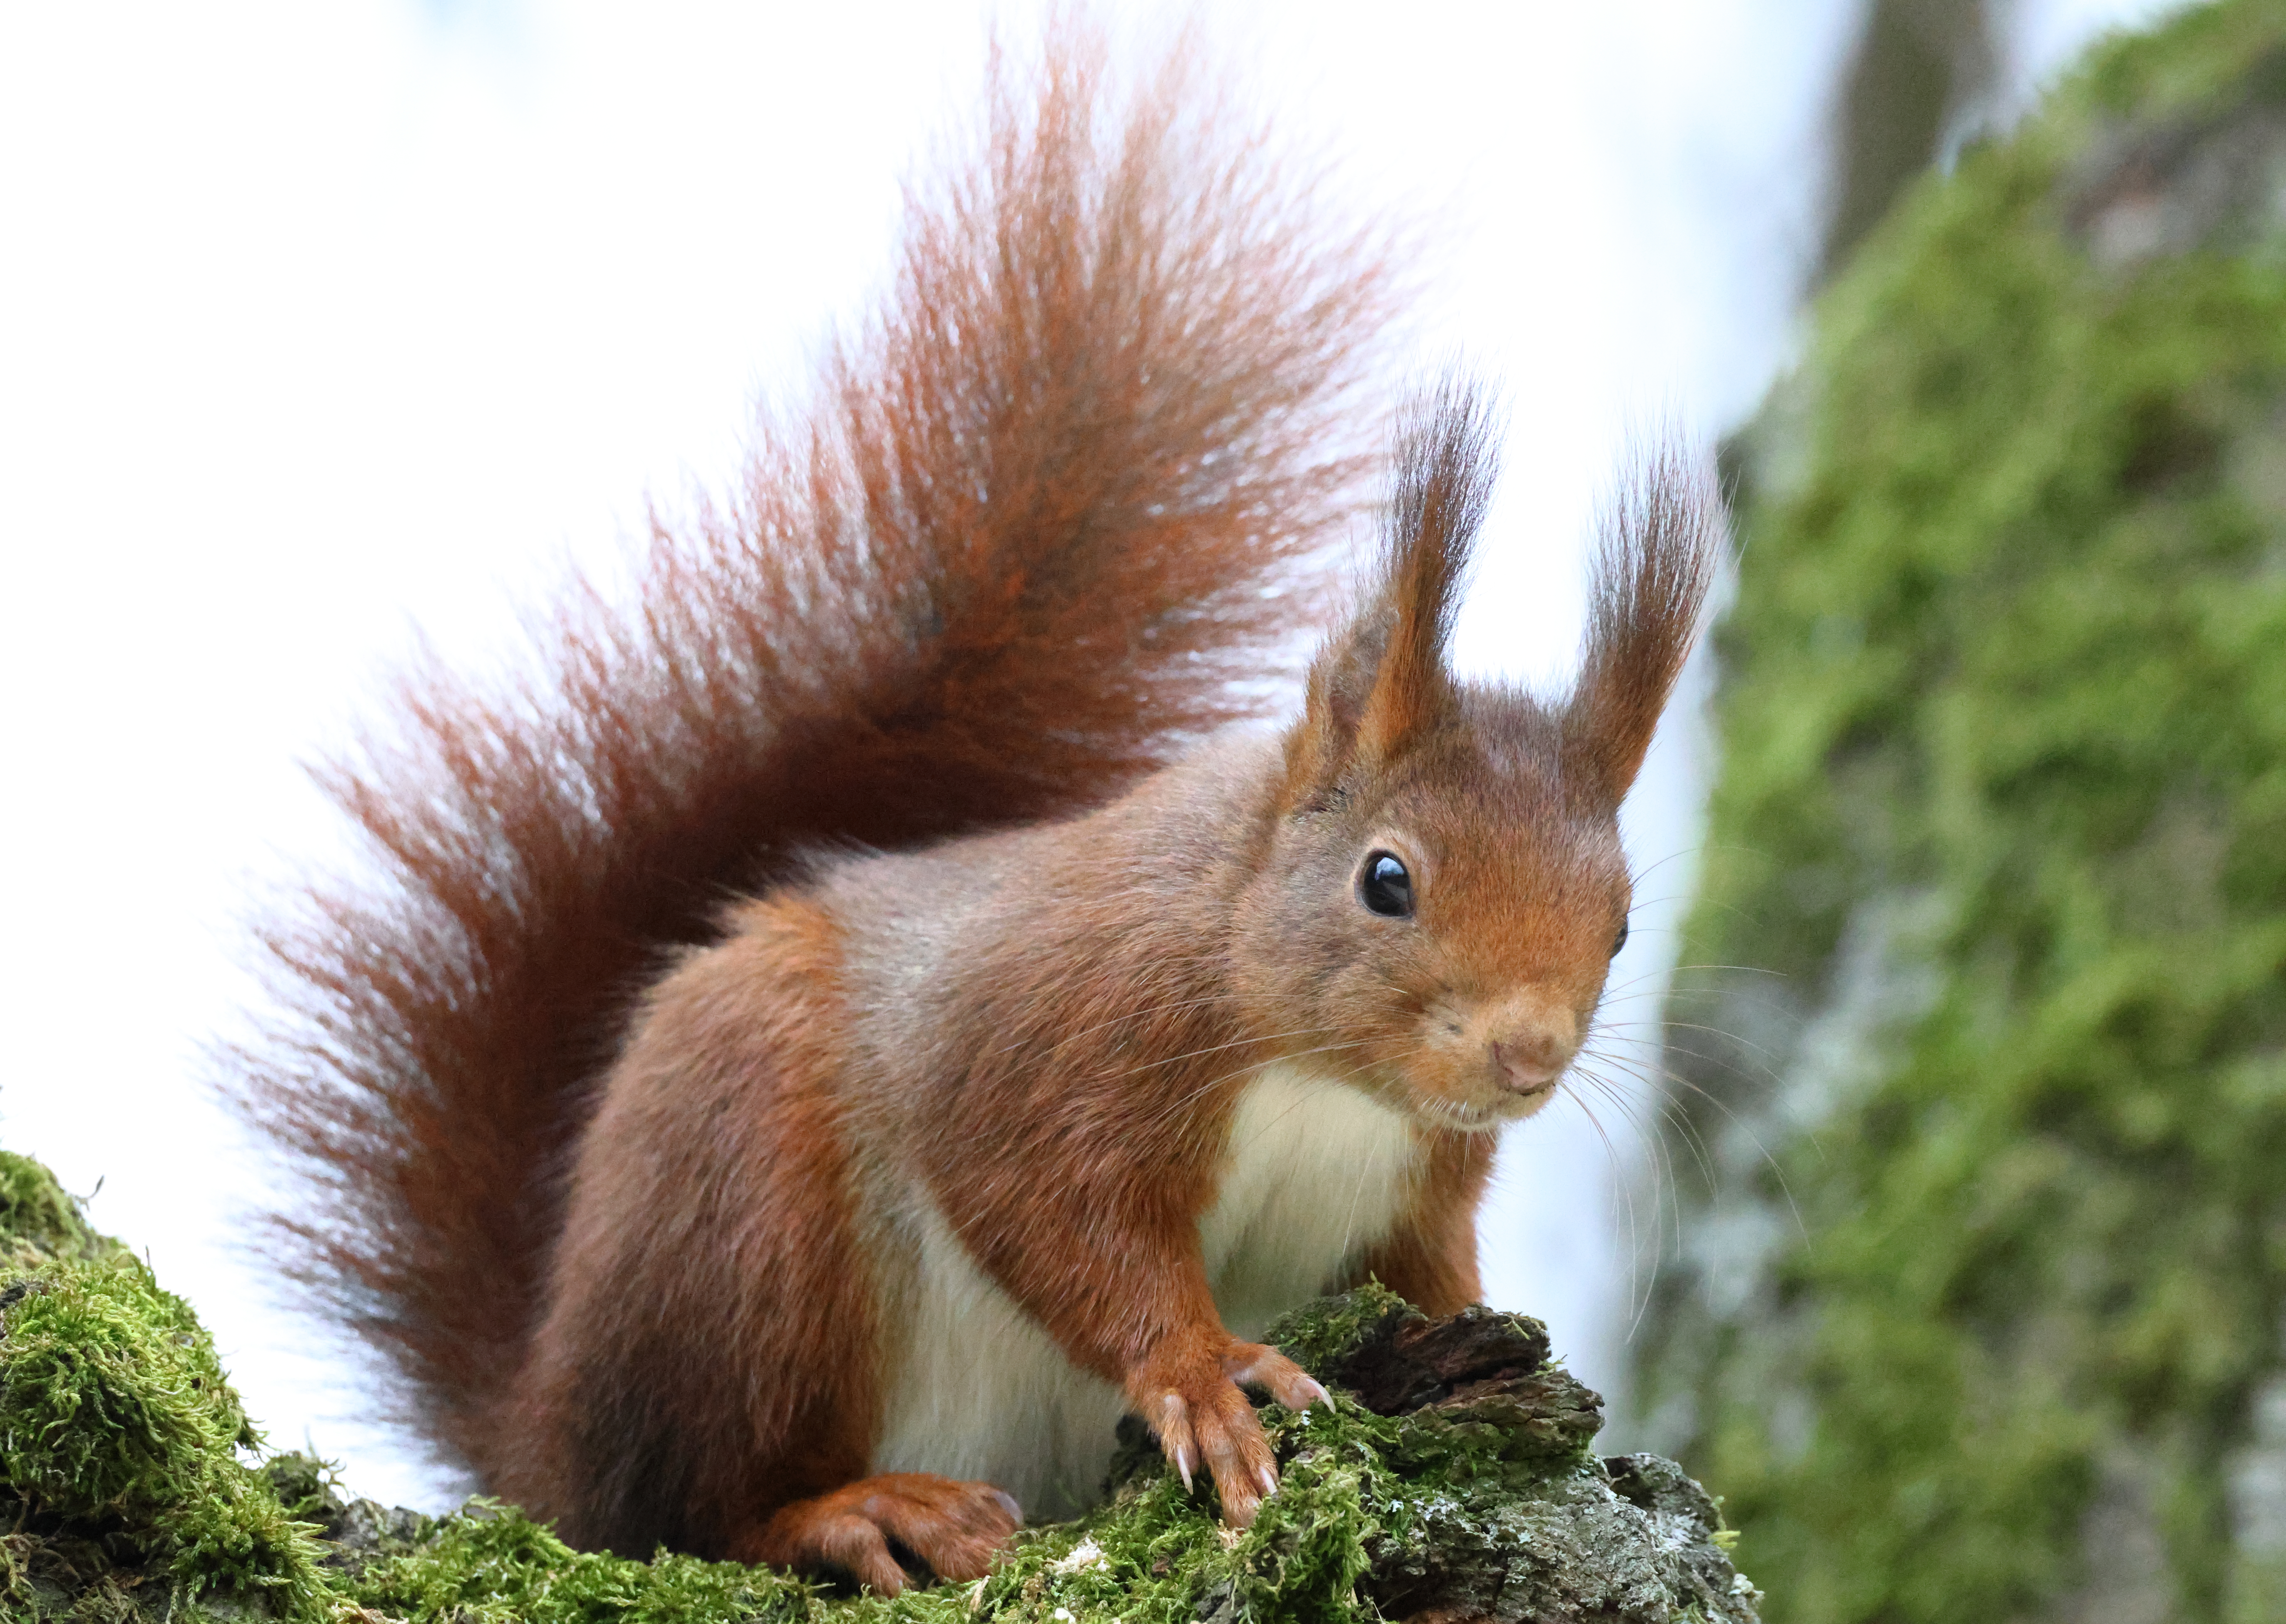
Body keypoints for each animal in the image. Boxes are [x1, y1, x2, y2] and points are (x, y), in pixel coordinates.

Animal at [231, 24, 1719, 1601]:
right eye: (1388, 879)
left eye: (1623, 928)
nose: (1526, 1052)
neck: (1323, 1078)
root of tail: (541, 1428)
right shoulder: (1050, 1030)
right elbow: (1048, 1208)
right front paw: (1201, 1371)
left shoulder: (1415, 1197)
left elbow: (1432, 1285)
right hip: (748, 1212)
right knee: (698, 1498)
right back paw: (858, 1511)